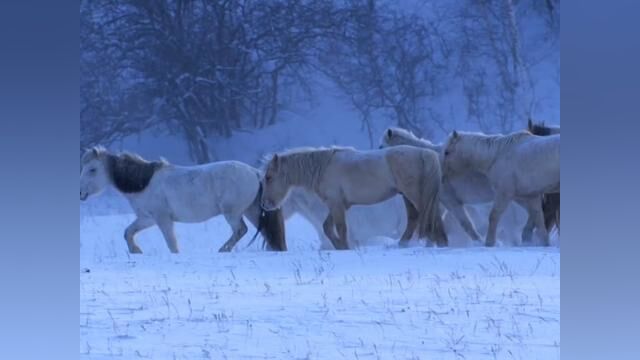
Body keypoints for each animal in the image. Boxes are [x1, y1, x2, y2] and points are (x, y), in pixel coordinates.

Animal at [79, 146, 284, 253]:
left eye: (92, 169)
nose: (81, 193)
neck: (143, 183)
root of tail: (255, 172)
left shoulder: (162, 219)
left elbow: (172, 244)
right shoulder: (147, 219)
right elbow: (128, 232)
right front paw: (135, 250)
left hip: (232, 213)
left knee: (240, 230)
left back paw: (222, 249)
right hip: (251, 210)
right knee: (262, 231)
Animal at [258, 145, 444, 249]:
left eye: (269, 177)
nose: (265, 205)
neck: (323, 168)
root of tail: (425, 153)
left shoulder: (336, 205)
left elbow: (341, 228)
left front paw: (345, 247)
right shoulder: (337, 205)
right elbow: (327, 227)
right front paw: (340, 246)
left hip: (415, 196)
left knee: (428, 219)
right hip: (407, 197)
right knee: (416, 219)